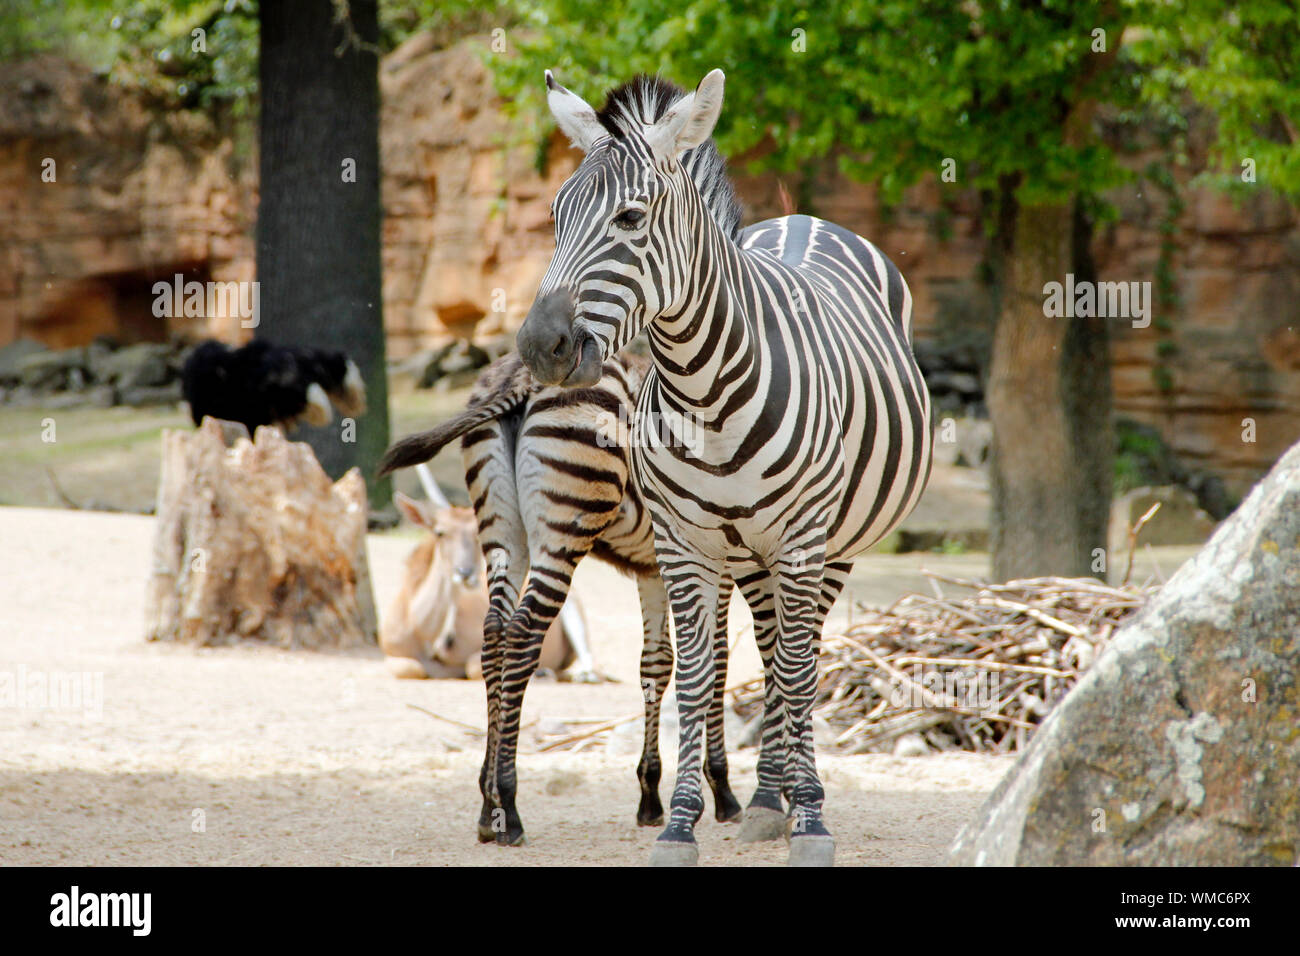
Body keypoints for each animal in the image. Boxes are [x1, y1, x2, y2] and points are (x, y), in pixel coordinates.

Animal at [512, 72, 930, 868]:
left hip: (831, 545)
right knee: (769, 649)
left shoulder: (799, 542)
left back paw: (792, 796)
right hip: (750, 555)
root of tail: (802, 217)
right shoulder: (683, 547)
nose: (540, 348)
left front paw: (813, 824)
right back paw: (769, 798)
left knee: (800, 658)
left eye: (630, 218)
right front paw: (680, 825)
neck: (705, 395)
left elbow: (796, 672)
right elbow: (696, 677)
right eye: (555, 216)